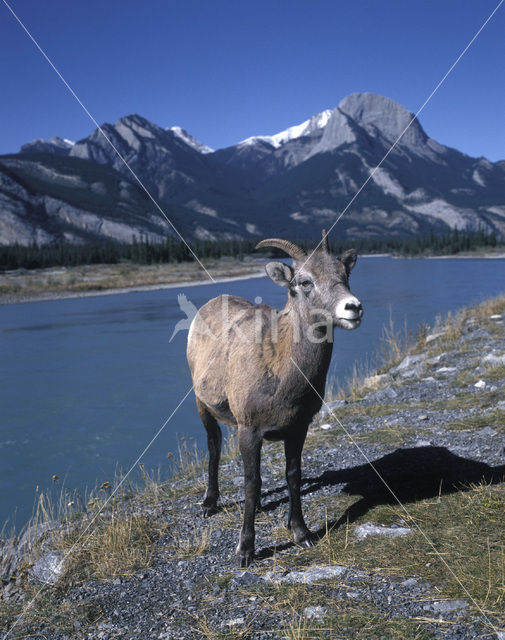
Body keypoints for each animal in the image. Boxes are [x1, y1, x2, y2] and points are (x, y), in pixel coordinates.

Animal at [187, 230, 360, 564]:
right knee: (214, 447)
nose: (353, 308)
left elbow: (293, 475)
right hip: (202, 406)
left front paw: (301, 533)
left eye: (345, 275)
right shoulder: (249, 430)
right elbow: (251, 482)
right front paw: (245, 550)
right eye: (304, 282)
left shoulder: (298, 428)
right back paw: (209, 504)